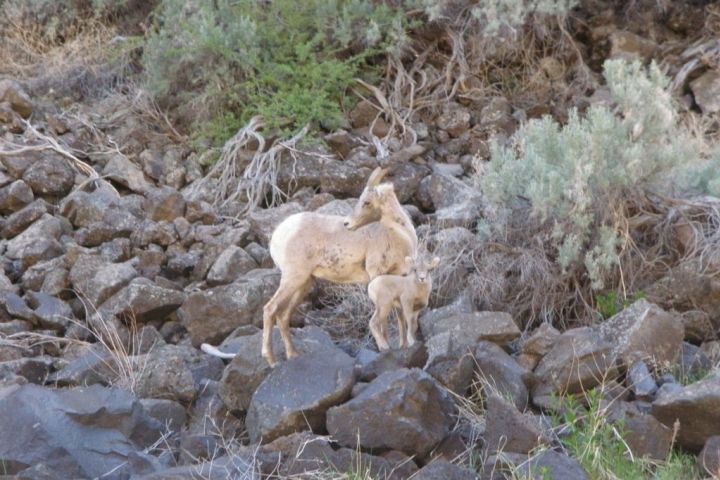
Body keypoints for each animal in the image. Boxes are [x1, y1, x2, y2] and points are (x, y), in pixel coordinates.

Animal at [201, 167, 416, 366]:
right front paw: (385, 348)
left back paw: (293, 355)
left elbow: (400, 314)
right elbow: (385, 317)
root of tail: (277, 235)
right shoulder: (377, 276)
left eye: (367, 202)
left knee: (283, 315)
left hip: (304, 283)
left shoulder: (399, 277)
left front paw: (403, 346)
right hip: (293, 278)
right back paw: (272, 360)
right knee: (270, 309)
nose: (347, 224)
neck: (399, 235)